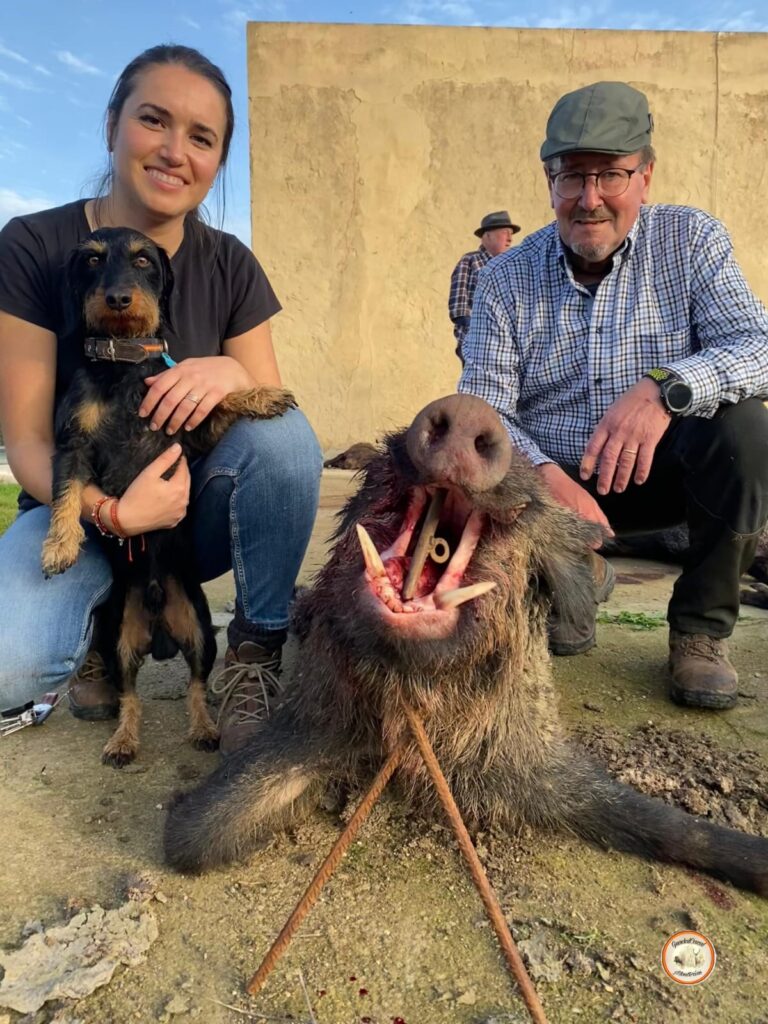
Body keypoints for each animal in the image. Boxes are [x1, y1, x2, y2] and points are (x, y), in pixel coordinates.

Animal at [163, 393, 768, 897]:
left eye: (531, 507)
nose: (467, 408)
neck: (411, 702)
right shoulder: (318, 717)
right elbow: (195, 837)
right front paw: (182, 809)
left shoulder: (535, 759)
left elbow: (672, 827)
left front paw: (754, 856)